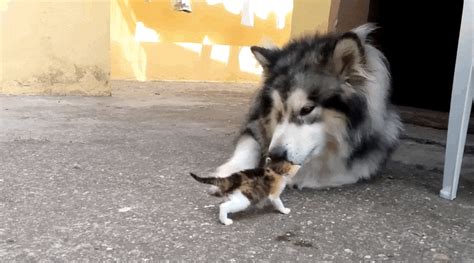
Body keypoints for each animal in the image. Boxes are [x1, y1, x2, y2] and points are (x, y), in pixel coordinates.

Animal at [211, 23, 400, 191]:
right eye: (277, 112)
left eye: (307, 109)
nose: (275, 155)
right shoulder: (256, 123)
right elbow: (248, 146)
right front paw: (229, 174)